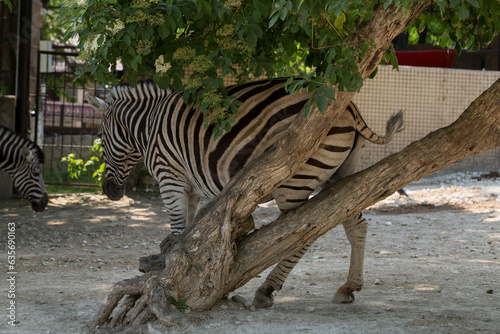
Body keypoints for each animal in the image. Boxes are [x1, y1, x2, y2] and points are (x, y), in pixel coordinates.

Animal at [86, 78, 404, 308]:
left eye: (99, 138)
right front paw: (180, 264)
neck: (147, 126)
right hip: (340, 174)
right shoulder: (190, 184)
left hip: (296, 179)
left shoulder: (170, 176)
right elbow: (188, 226)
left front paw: (169, 273)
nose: (109, 192)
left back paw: (267, 290)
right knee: (356, 226)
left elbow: (177, 227)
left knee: (302, 235)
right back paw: (349, 287)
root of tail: (349, 107)